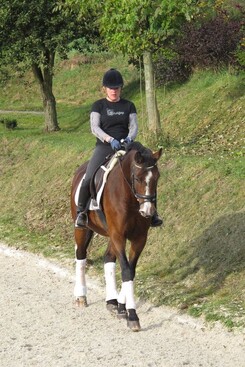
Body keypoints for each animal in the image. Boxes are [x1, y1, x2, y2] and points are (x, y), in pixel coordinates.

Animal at [70, 142, 163, 332]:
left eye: (157, 178)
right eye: (137, 178)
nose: (148, 211)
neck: (130, 199)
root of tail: (79, 171)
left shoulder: (139, 238)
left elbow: (131, 271)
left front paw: (122, 307)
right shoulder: (119, 235)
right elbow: (126, 270)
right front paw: (132, 315)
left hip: (110, 235)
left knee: (108, 259)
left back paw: (111, 301)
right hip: (83, 229)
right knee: (81, 256)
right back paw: (81, 296)